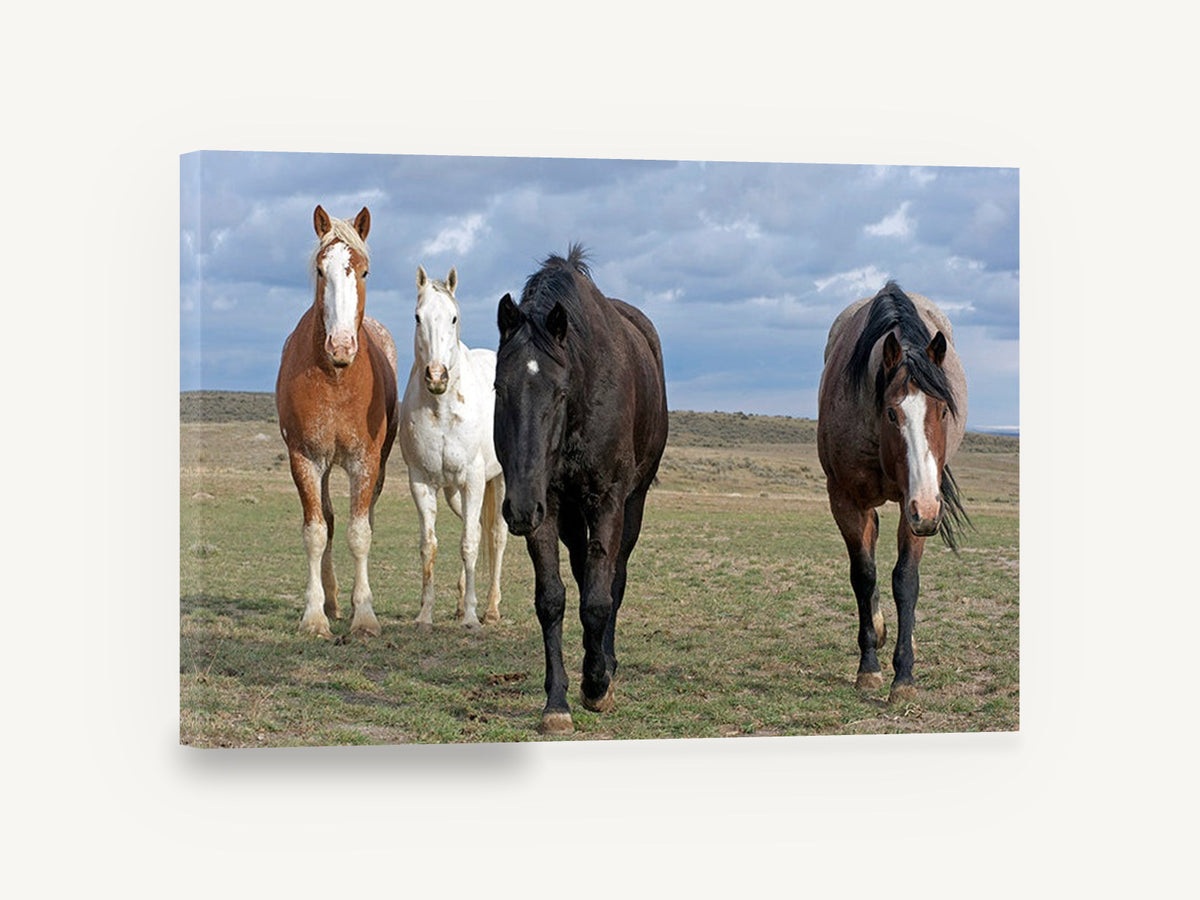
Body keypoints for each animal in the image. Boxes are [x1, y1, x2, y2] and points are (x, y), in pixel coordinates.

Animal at [275, 205, 399, 639]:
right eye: (319, 269)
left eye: (363, 271)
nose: (341, 345)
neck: (336, 378)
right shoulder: (305, 459)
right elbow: (315, 532)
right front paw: (314, 616)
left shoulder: (365, 461)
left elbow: (359, 533)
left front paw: (365, 616)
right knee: (327, 519)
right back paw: (330, 601)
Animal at [399, 265, 508, 631]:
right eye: (417, 317)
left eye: (454, 317)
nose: (436, 376)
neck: (442, 409)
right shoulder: (421, 482)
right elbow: (429, 547)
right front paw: (425, 615)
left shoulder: (473, 480)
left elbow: (470, 544)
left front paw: (473, 618)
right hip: (453, 493)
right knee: (476, 527)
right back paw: (461, 604)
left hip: (498, 481)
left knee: (496, 535)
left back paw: (490, 608)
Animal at [494, 245, 668, 735]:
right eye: (498, 388)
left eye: (559, 391)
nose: (517, 509)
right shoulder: (547, 505)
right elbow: (552, 599)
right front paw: (556, 701)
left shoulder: (607, 501)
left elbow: (598, 599)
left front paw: (596, 685)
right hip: (568, 515)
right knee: (583, 569)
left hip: (631, 505)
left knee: (614, 578)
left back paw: (607, 663)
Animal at [817, 281, 969, 703]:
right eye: (891, 413)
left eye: (943, 410)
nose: (929, 511)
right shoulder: (846, 500)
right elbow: (864, 575)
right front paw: (869, 667)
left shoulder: (913, 506)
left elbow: (905, 581)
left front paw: (905, 674)